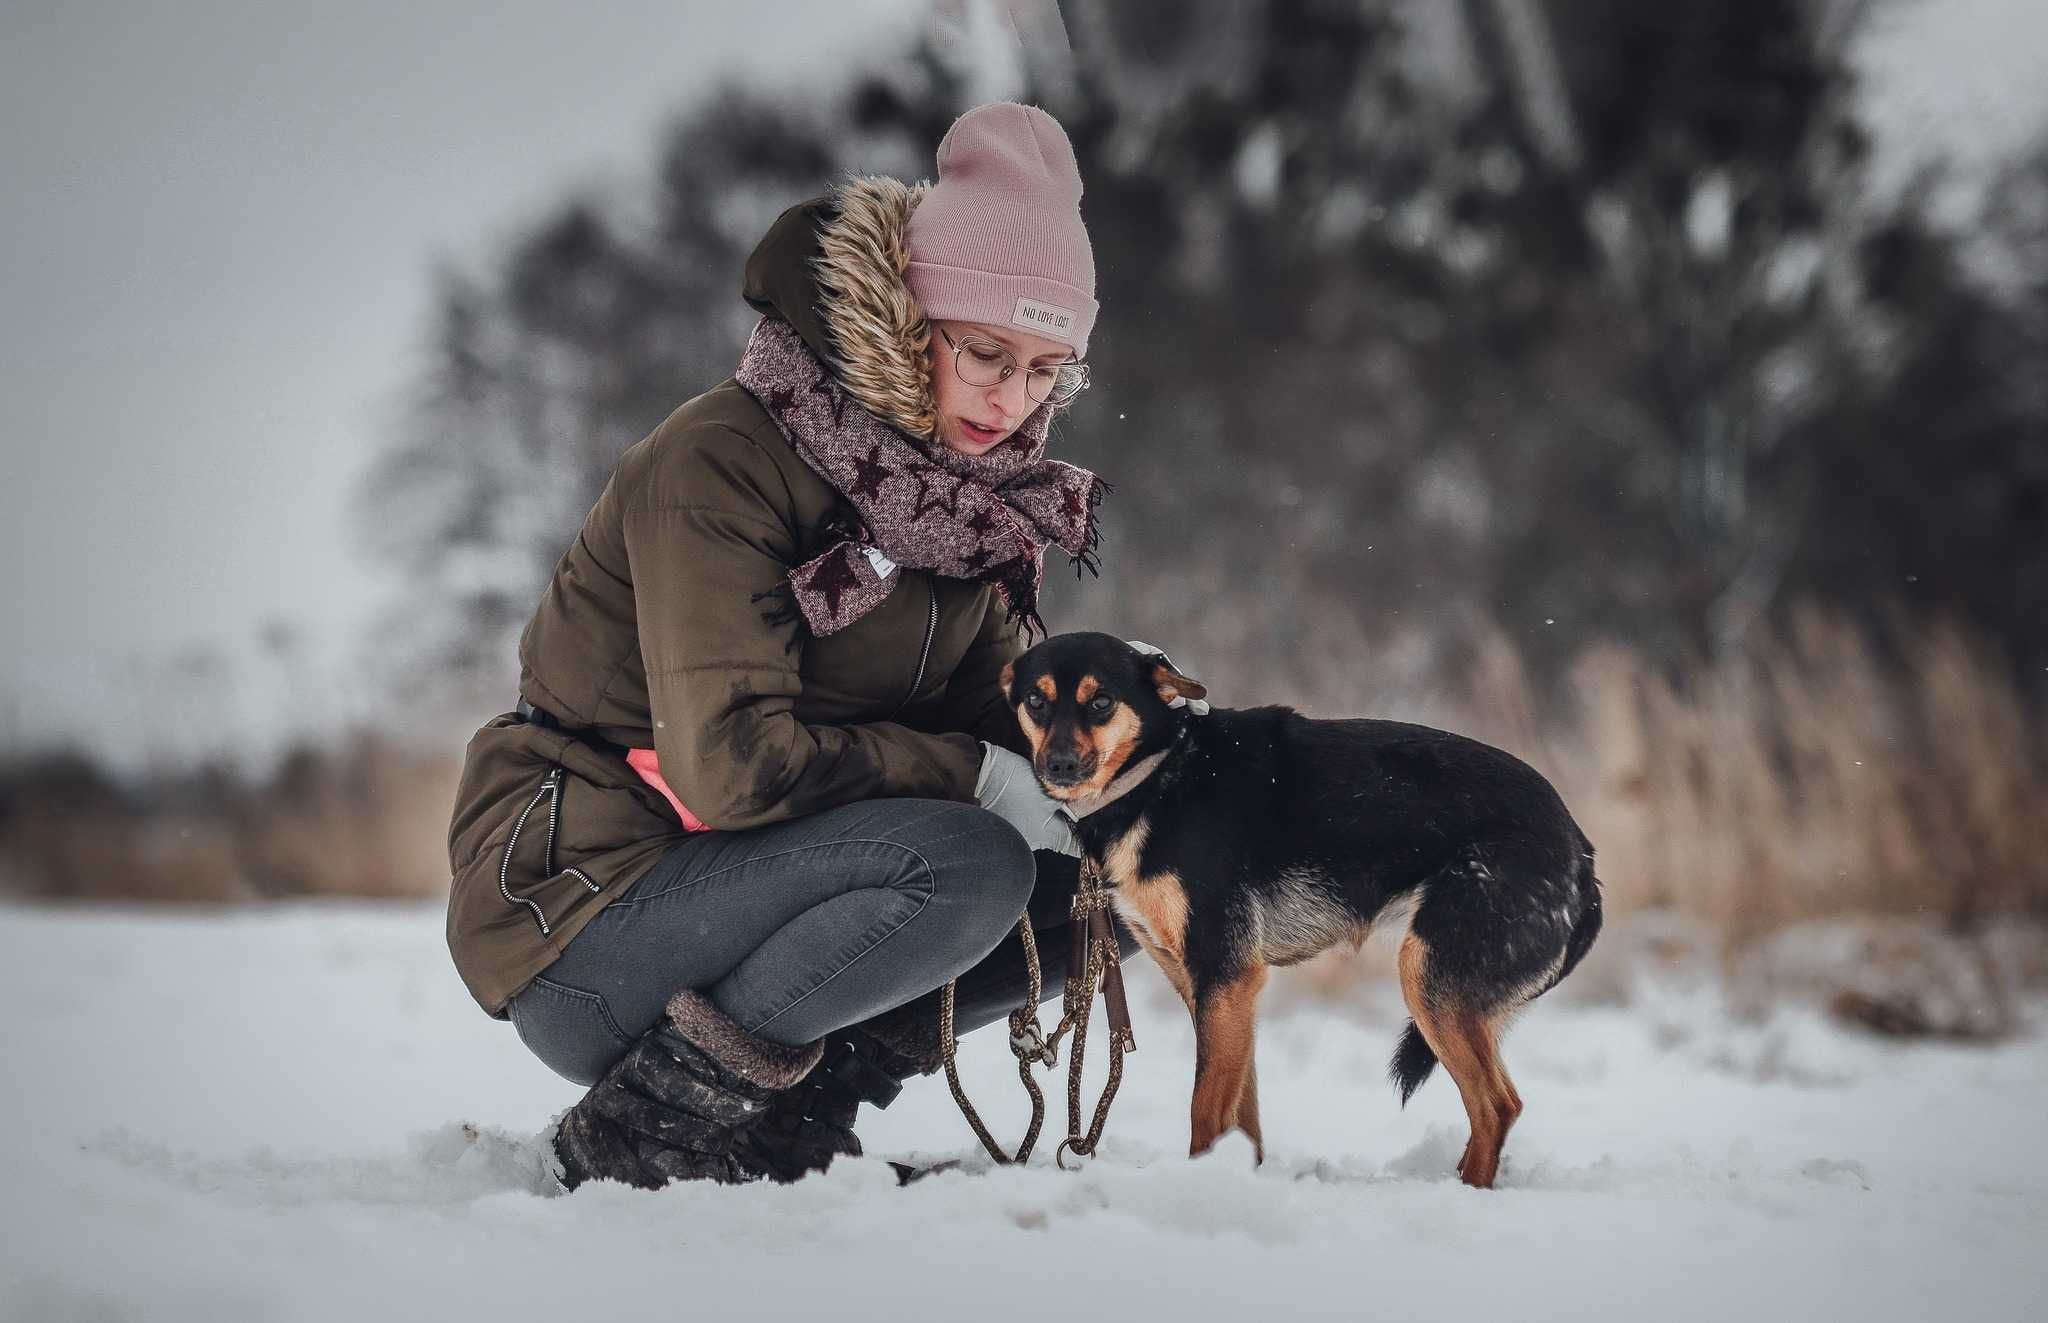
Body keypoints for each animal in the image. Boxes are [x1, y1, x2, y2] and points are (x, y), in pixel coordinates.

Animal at [999, 630, 1605, 1196]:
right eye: (1036, 701)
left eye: (1101, 701)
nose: (1058, 764)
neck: (1160, 772)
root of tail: (1580, 853)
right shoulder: (1217, 990)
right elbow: (1240, 1115)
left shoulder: (1224, 975)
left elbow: (1203, 1109)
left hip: (1430, 977)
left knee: (1496, 1106)